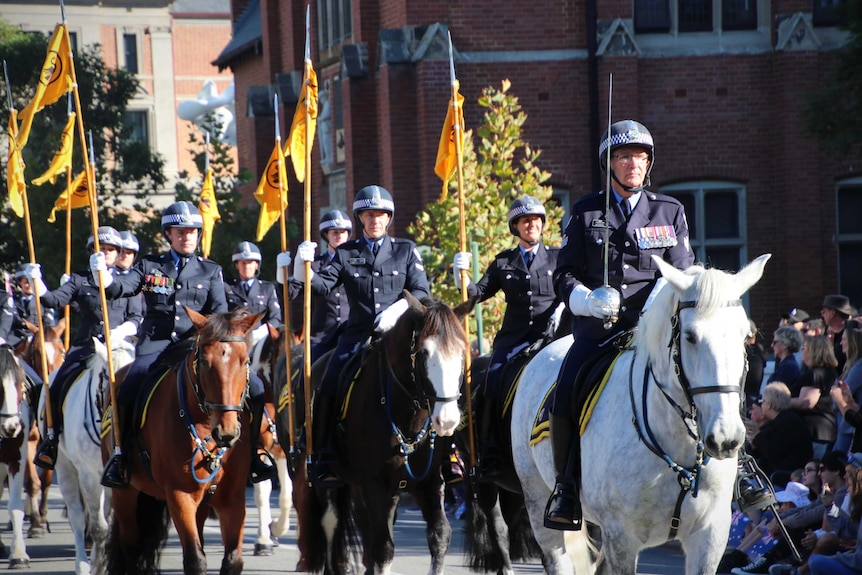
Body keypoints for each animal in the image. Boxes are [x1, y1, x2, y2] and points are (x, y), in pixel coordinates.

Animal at [42, 338, 135, 575]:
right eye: (107, 376)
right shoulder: (88, 475)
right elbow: (98, 527)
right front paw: (97, 565)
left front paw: (105, 562)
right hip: (65, 468)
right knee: (77, 516)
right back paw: (82, 564)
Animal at [103, 310, 264, 575]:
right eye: (205, 362)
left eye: (244, 361)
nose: (227, 433)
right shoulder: (180, 496)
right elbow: (195, 560)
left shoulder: (232, 498)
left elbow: (233, 560)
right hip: (125, 492)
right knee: (129, 545)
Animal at [296, 292, 472, 575]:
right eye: (424, 352)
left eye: (461, 353)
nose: (447, 420)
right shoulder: (374, 486)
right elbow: (383, 549)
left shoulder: (430, 482)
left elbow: (440, 536)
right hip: (331, 482)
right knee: (332, 523)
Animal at [512, 256, 768, 575]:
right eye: (690, 336)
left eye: (745, 335)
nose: (726, 438)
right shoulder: (621, 537)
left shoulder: (710, 535)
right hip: (538, 503)